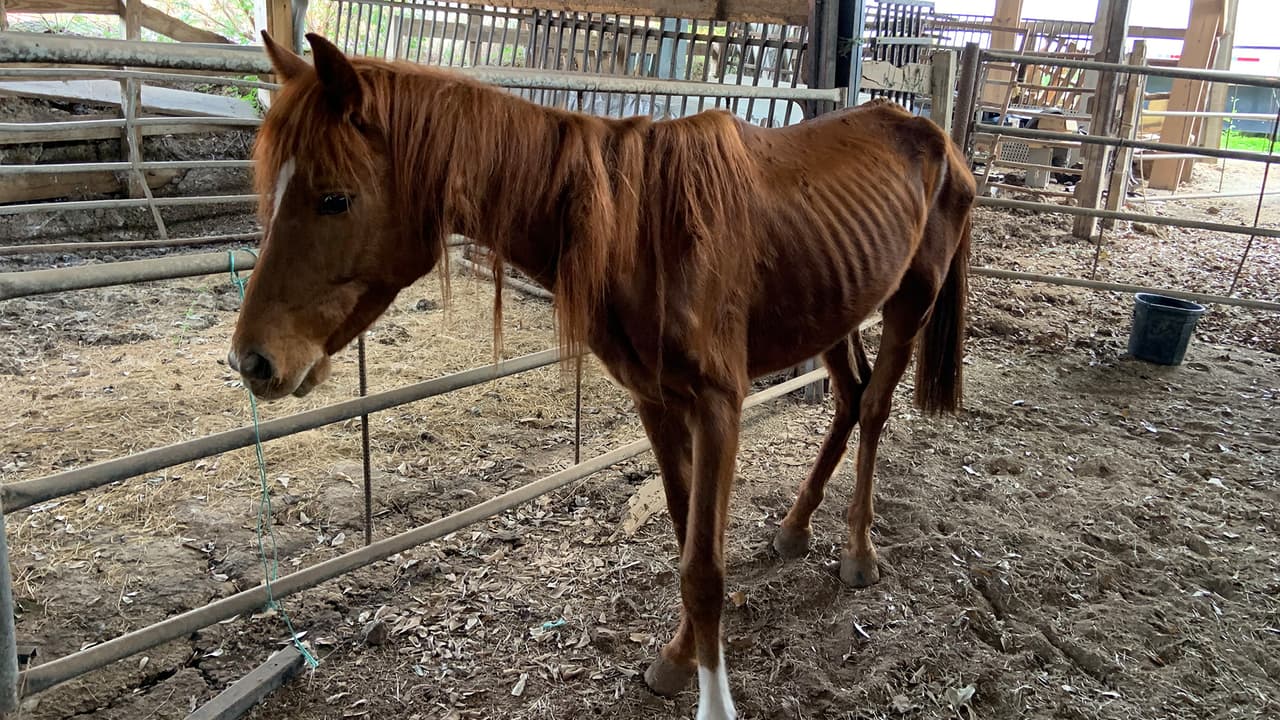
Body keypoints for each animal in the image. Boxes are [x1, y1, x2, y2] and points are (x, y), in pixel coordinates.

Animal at [228, 31, 976, 720]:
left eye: (334, 200)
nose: (252, 361)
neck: (642, 229)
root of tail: (936, 137)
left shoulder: (719, 405)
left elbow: (704, 567)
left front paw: (713, 698)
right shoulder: (657, 401)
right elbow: (684, 535)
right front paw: (679, 659)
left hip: (910, 300)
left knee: (874, 409)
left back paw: (859, 552)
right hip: (835, 306)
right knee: (849, 399)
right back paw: (794, 528)